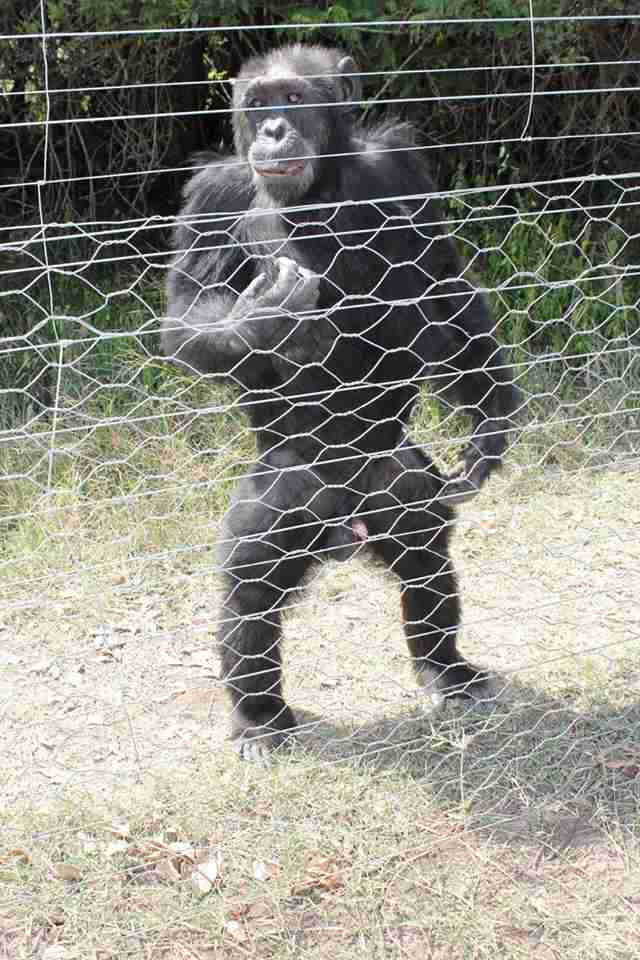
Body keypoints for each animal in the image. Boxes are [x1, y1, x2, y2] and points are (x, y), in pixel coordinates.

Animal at [164, 45, 520, 760]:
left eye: (295, 99)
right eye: (258, 104)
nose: (274, 129)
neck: (318, 190)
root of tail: (345, 520)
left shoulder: (401, 168)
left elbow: (444, 282)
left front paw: (489, 423)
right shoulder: (213, 194)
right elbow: (188, 311)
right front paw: (271, 316)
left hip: (398, 477)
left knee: (423, 550)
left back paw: (446, 669)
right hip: (290, 488)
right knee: (251, 579)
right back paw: (259, 716)